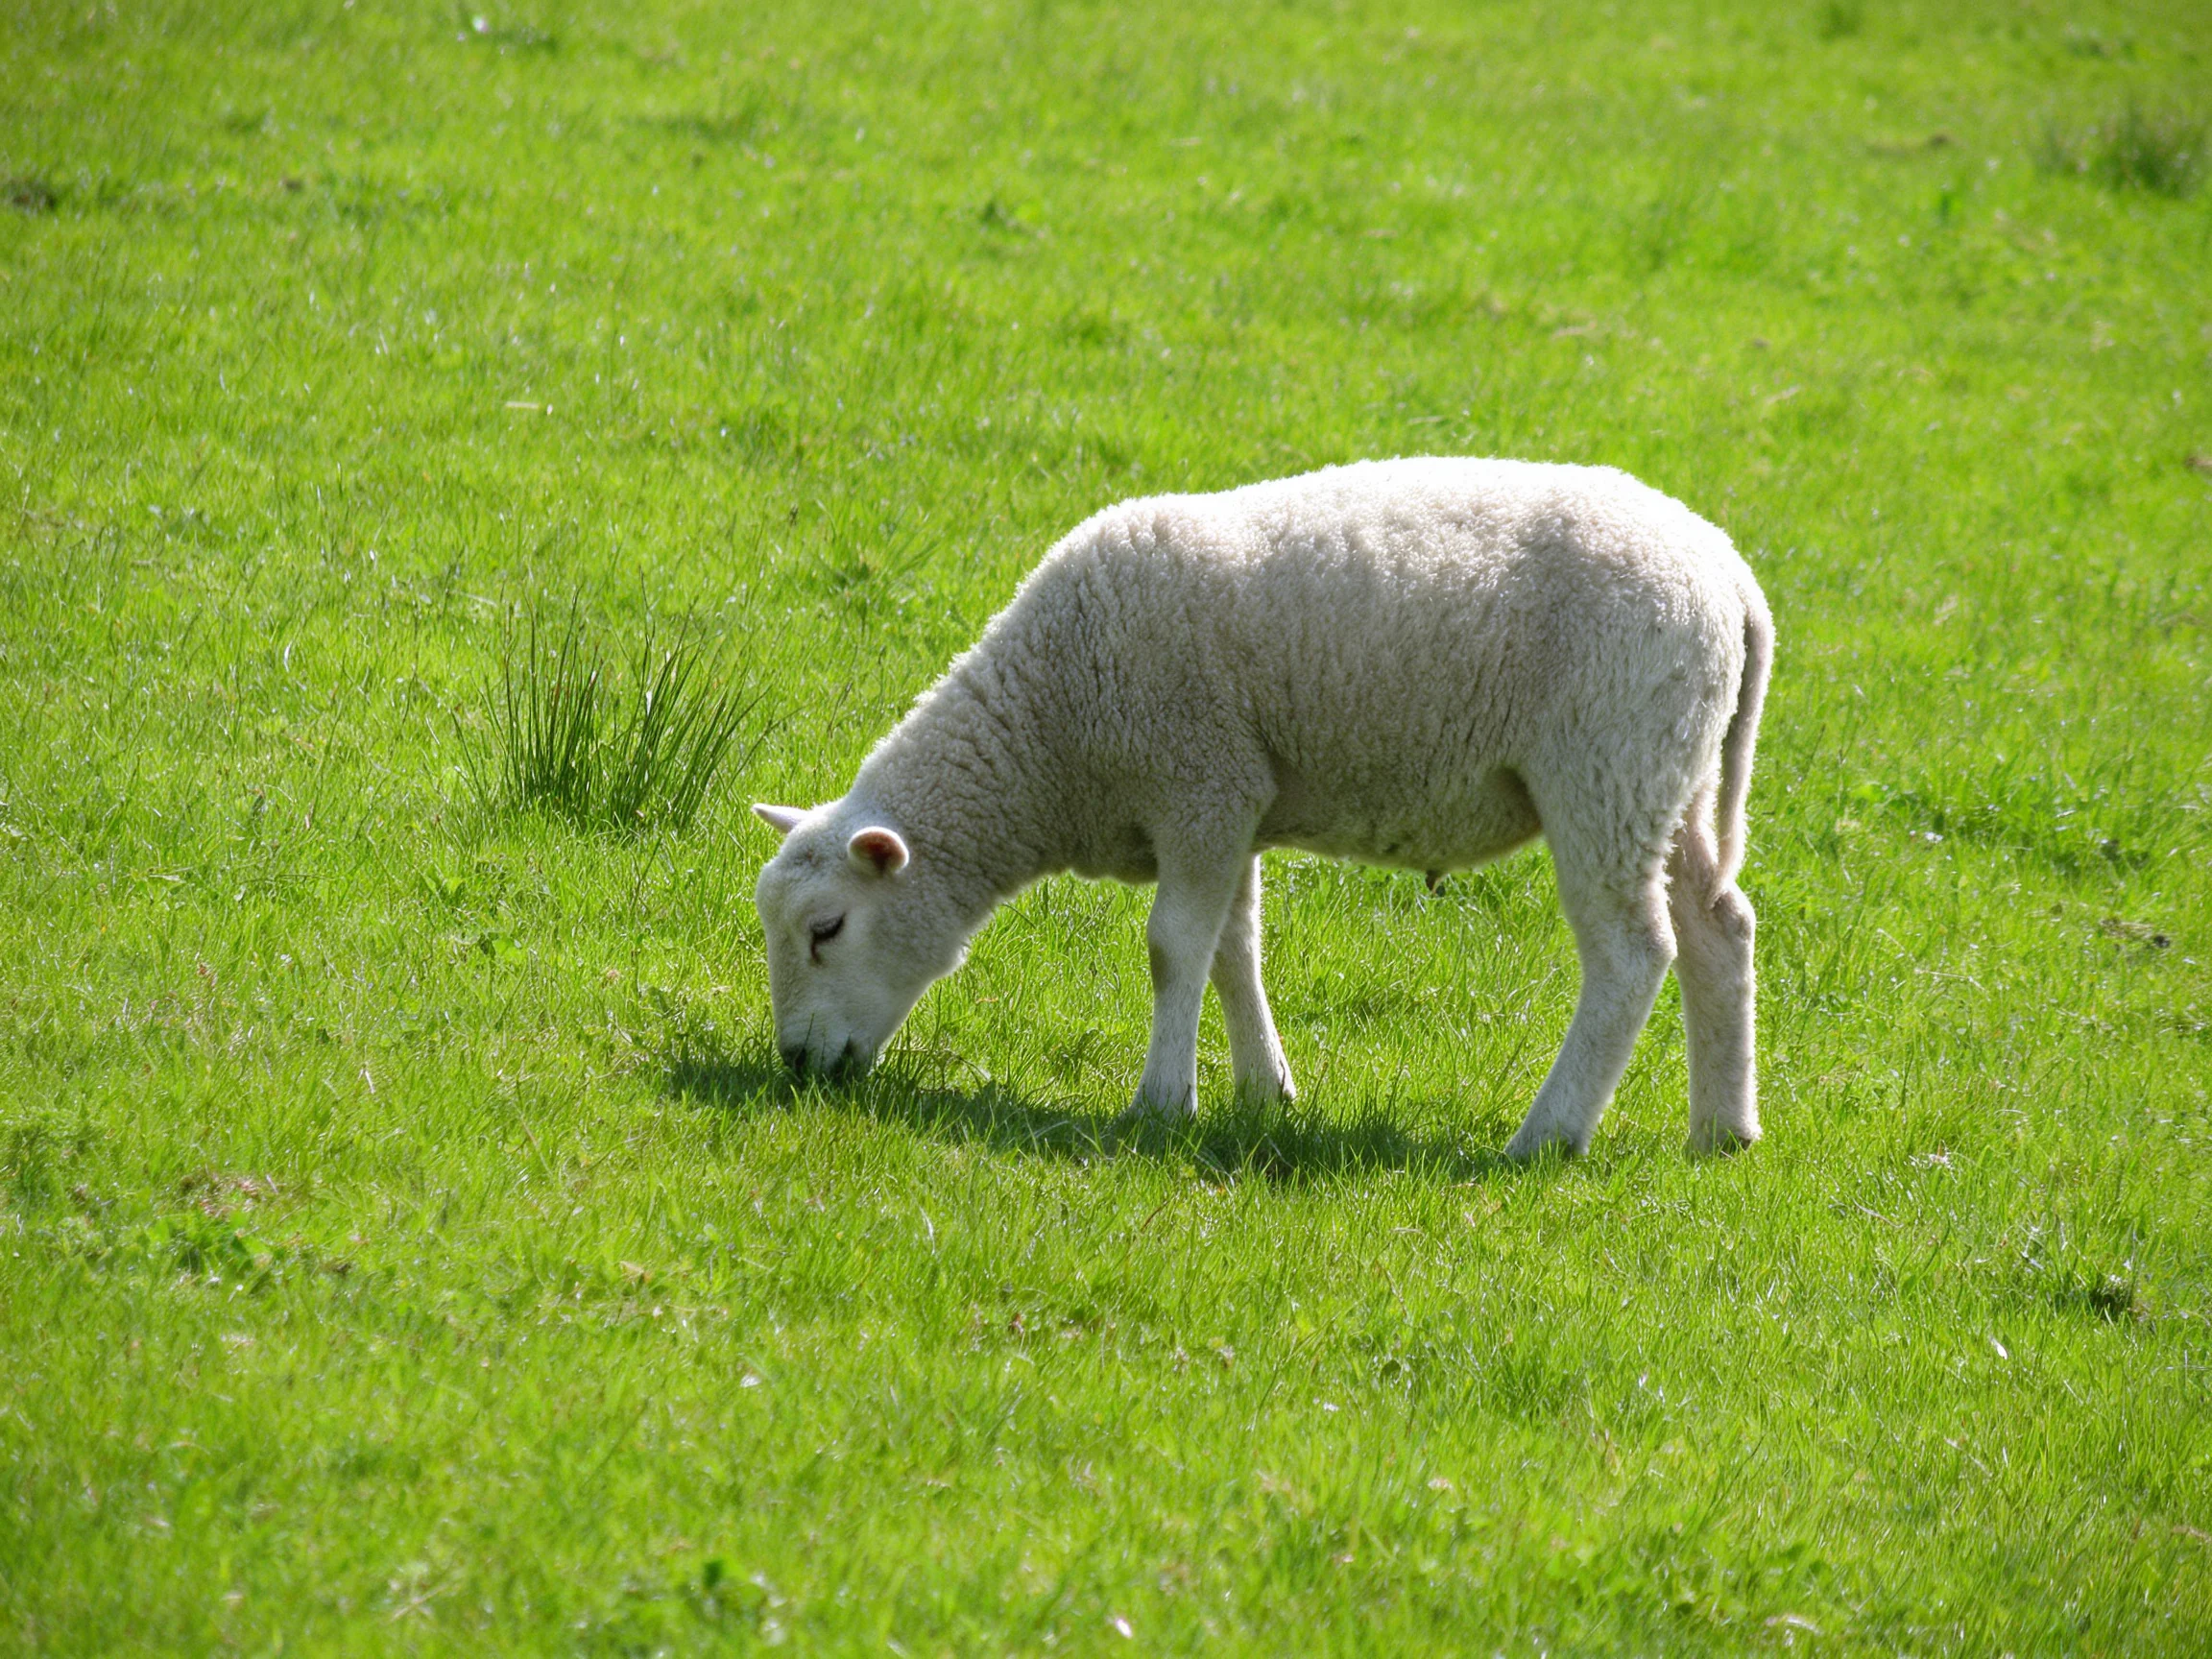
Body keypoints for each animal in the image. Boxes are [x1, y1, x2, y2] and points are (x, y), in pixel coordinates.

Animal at [752, 456, 1772, 1158]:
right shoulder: (1230, 800)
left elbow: (1173, 950)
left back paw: (1547, 1137)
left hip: (1604, 765)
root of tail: (1728, 575)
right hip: (1669, 777)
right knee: (1720, 928)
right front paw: (1262, 1091)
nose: (797, 1067)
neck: (1051, 728)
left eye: (826, 930)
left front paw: (1162, 1103)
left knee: (1632, 956)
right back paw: (1722, 1131)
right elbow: (1232, 947)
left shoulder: (1198, 780)